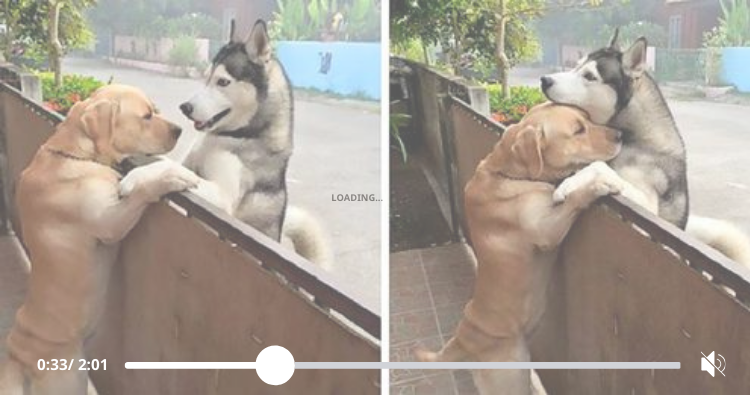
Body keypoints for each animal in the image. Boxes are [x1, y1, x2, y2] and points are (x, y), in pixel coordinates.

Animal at [0, 85, 200, 394]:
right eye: (146, 116)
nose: (179, 130)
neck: (73, 154)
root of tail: (18, 359)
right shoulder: (110, 221)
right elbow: (142, 188)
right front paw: (171, 177)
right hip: (70, 378)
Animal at [181, 20, 330, 268]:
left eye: (223, 81)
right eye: (206, 78)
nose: (184, 107)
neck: (238, 136)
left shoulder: (223, 196)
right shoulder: (189, 163)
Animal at [420, 103, 624, 394]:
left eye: (587, 118)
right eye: (578, 130)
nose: (620, 135)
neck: (510, 174)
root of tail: (462, 340)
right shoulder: (546, 231)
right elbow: (574, 197)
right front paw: (597, 186)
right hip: (511, 377)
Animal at [540, 31, 750, 266]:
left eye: (589, 76)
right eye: (576, 66)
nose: (544, 80)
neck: (636, 138)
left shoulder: (647, 207)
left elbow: (600, 166)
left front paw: (567, 185)